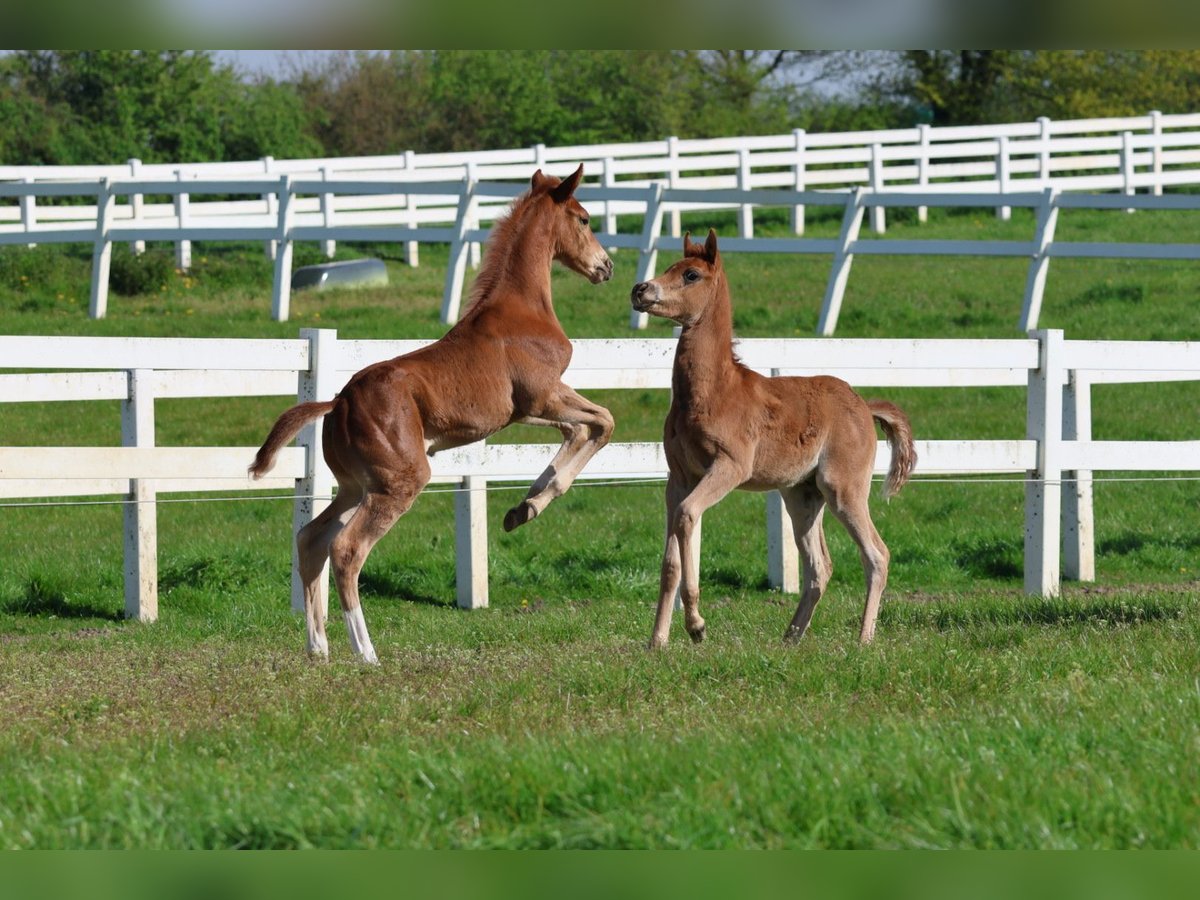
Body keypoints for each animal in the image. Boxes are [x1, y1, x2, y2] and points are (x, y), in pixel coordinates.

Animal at [249, 168, 614, 662]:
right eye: (584, 218)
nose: (605, 267)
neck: (520, 309)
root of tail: (338, 402)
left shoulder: (526, 413)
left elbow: (581, 429)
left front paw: (523, 508)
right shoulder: (542, 396)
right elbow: (602, 421)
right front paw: (529, 505)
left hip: (357, 485)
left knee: (311, 539)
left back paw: (318, 647)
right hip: (399, 482)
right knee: (346, 549)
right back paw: (365, 651)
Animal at [628, 232, 916, 652]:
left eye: (691, 274)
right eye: (668, 267)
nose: (640, 290)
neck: (712, 393)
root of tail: (864, 404)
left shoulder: (729, 467)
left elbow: (687, 515)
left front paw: (697, 625)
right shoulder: (678, 477)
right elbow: (671, 560)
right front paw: (657, 641)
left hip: (843, 489)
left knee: (876, 554)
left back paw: (864, 638)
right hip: (802, 496)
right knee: (820, 566)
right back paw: (790, 637)